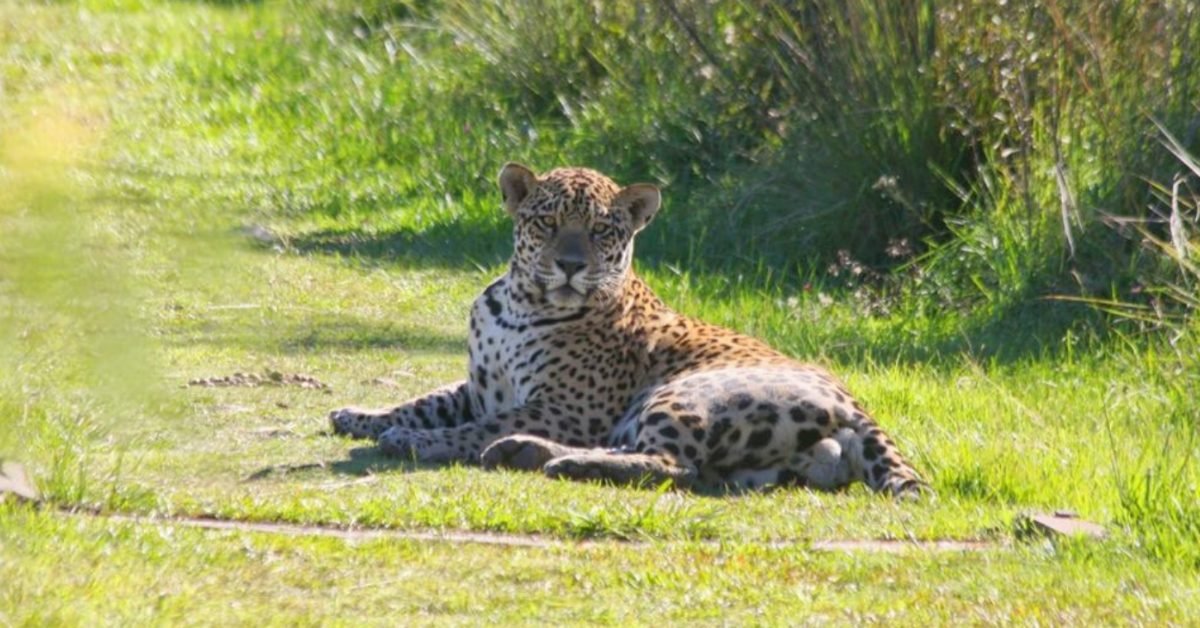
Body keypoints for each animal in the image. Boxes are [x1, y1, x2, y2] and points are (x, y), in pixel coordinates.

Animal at [329, 163, 931, 497]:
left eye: (601, 231)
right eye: (548, 222)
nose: (571, 265)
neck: (520, 303)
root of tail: (855, 405)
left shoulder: (566, 408)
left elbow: (472, 428)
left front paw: (416, 440)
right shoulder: (479, 387)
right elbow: (425, 400)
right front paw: (360, 416)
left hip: (683, 394)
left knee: (674, 466)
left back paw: (546, 456)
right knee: (676, 465)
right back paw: (525, 452)